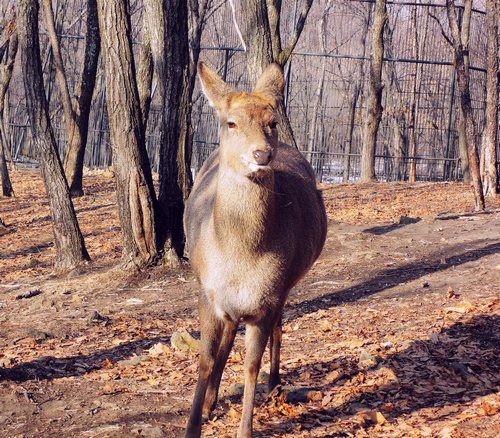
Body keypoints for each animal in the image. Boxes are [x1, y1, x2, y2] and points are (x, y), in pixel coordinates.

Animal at [184, 62, 328, 438]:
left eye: (272, 121)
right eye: (231, 122)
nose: (262, 153)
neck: (241, 259)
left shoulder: (266, 299)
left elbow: (251, 365)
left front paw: (245, 429)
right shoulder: (207, 292)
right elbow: (205, 358)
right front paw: (194, 423)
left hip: (287, 286)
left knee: (278, 325)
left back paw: (274, 383)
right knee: (228, 338)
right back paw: (211, 402)